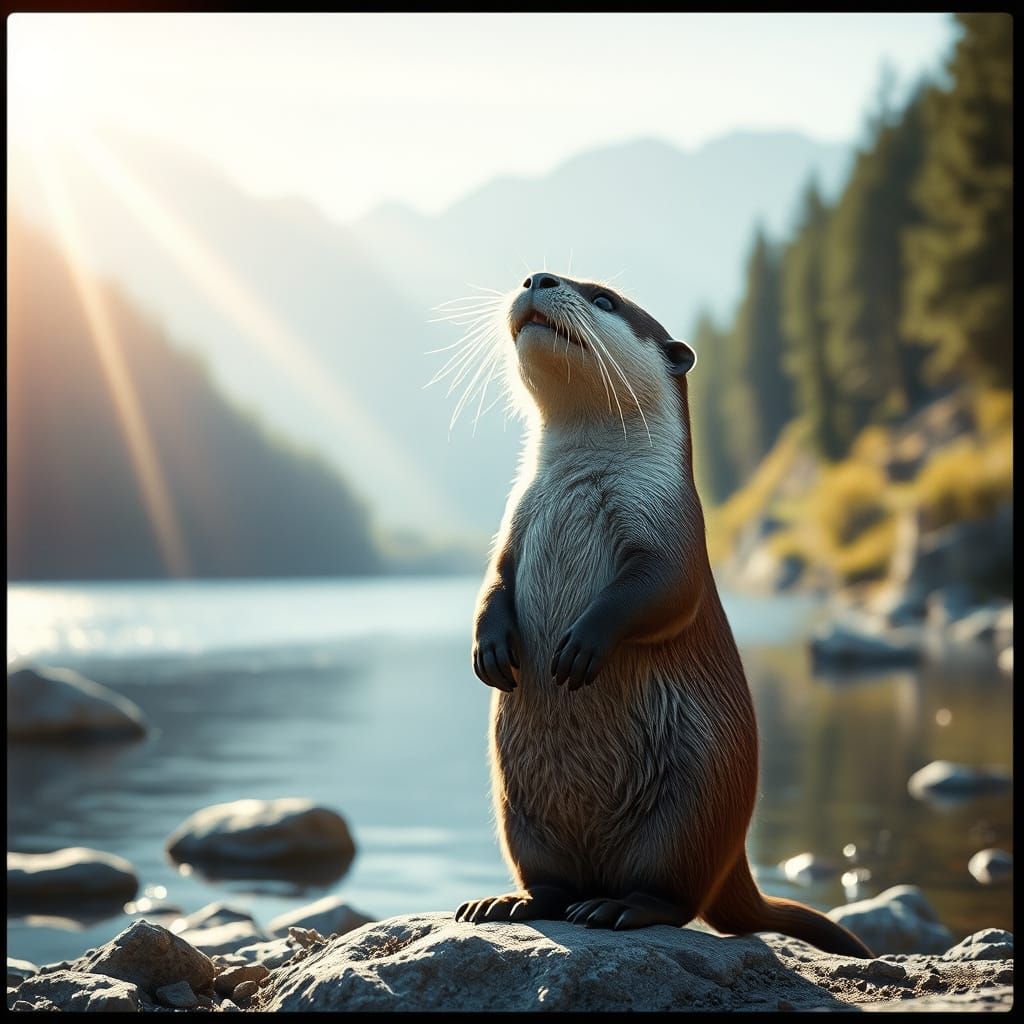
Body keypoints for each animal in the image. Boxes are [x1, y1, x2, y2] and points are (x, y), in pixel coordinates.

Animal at [453, 271, 871, 958]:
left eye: (604, 299)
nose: (538, 277)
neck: (582, 480)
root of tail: (734, 860)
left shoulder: (672, 526)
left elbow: (661, 592)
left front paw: (582, 644)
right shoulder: (513, 522)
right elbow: (493, 583)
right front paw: (490, 647)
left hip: (688, 810)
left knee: (674, 899)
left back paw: (619, 909)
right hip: (522, 817)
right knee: (553, 885)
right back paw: (508, 902)